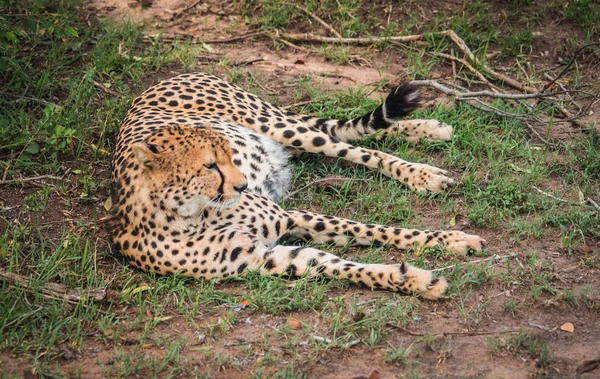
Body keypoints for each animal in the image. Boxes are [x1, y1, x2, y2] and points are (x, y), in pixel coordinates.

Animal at [110, 72, 486, 302]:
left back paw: (423, 168)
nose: (244, 186)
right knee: (352, 134)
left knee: (354, 146)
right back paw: (428, 131)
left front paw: (451, 240)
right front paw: (412, 280)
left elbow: (378, 229)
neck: (192, 213)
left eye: (229, 154)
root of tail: (165, 79)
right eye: (209, 164)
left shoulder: (287, 216)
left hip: (280, 126)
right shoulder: (265, 258)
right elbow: (337, 264)